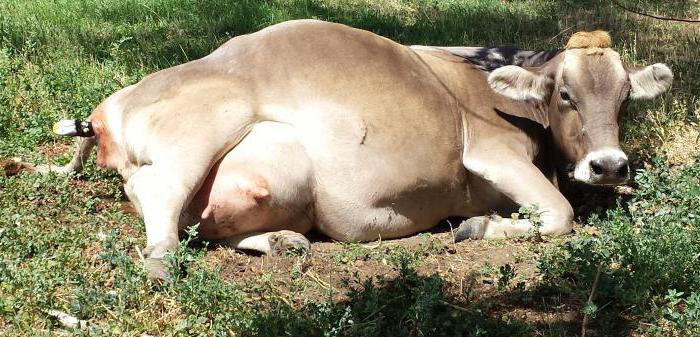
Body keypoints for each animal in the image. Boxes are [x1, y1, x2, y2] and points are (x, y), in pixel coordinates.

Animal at [26, 21, 672, 278]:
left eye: (625, 100)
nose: (608, 164)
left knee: (199, 218)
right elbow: (559, 215)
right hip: (207, 122)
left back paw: (280, 242)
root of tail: (114, 102)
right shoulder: (488, 151)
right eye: (565, 94)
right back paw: (160, 262)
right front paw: (475, 227)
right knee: (160, 193)